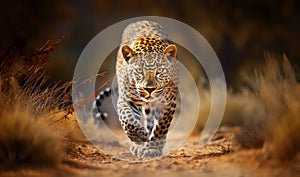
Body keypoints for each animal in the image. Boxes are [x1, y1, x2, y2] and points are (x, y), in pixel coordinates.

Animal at [94, 20, 178, 158]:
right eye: (139, 71)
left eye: (159, 71)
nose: (149, 89)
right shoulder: (127, 100)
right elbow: (128, 118)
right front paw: (139, 138)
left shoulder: (168, 102)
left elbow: (161, 127)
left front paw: (152, 148)